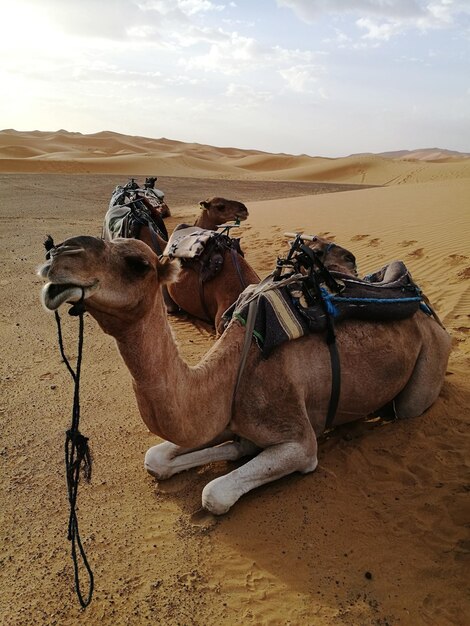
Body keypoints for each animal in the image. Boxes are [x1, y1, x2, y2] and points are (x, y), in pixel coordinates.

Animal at [37, 234, 452, 512]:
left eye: (137, 264)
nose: (56, 254)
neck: (230, 372)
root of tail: (427, 309)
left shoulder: (301, 442)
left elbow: (214, 494)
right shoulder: (221, 416)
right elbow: (156, 458)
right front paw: (238, 446)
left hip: (428, 365)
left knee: (408, 407)